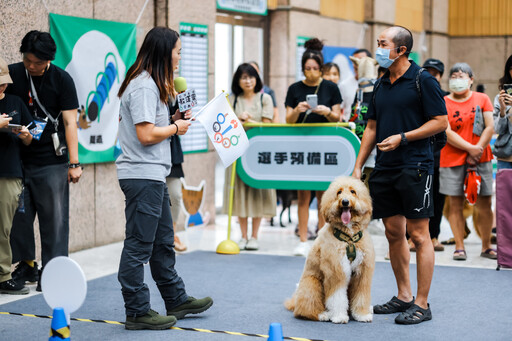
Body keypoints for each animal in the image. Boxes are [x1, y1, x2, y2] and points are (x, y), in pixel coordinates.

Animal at [286, 177, 374, 322]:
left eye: (353, 191)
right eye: (339, 192)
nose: (345, 201)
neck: (349, 239)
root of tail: (295, 301)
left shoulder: (362, 274)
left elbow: (361, 296)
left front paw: (362, 315)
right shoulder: (336, 271)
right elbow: (337, 298)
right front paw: (339, 316)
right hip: (312, 284)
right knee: (305, 309)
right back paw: (323, 314)